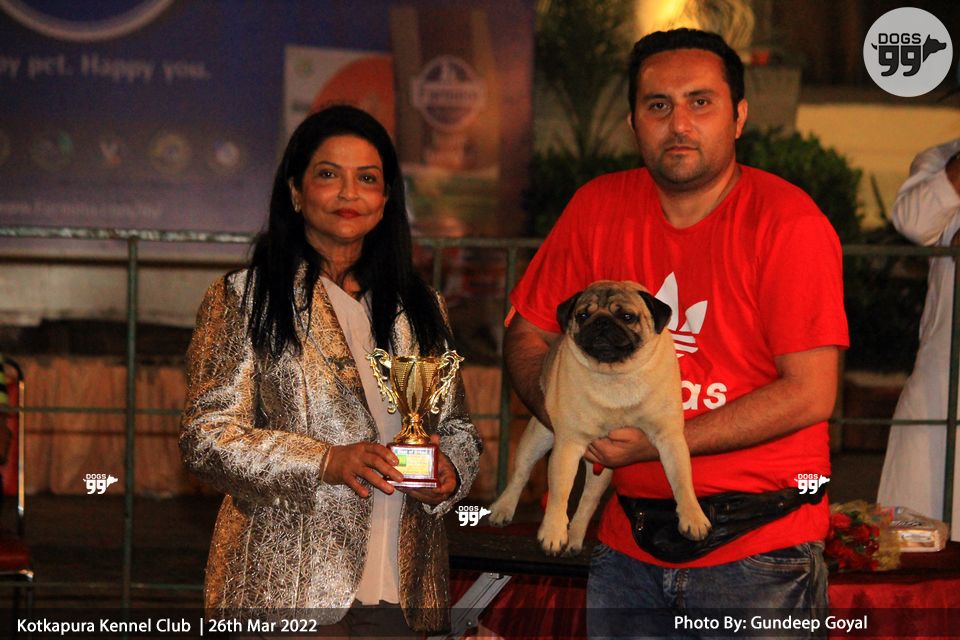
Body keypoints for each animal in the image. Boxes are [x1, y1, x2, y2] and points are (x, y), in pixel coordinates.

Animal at [488, 280, 711, 555]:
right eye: (583, 315)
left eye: (627, 317)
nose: (601, 322)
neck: (616, 375)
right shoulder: (568, 446)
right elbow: (559, 493)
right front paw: (553, 532)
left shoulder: (669, 438)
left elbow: (681, 479)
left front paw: (693, 516)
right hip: (538, 437)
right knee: (521, 474)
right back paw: (503, 509)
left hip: (602, 471)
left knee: (588, 501)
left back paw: (574, 537)